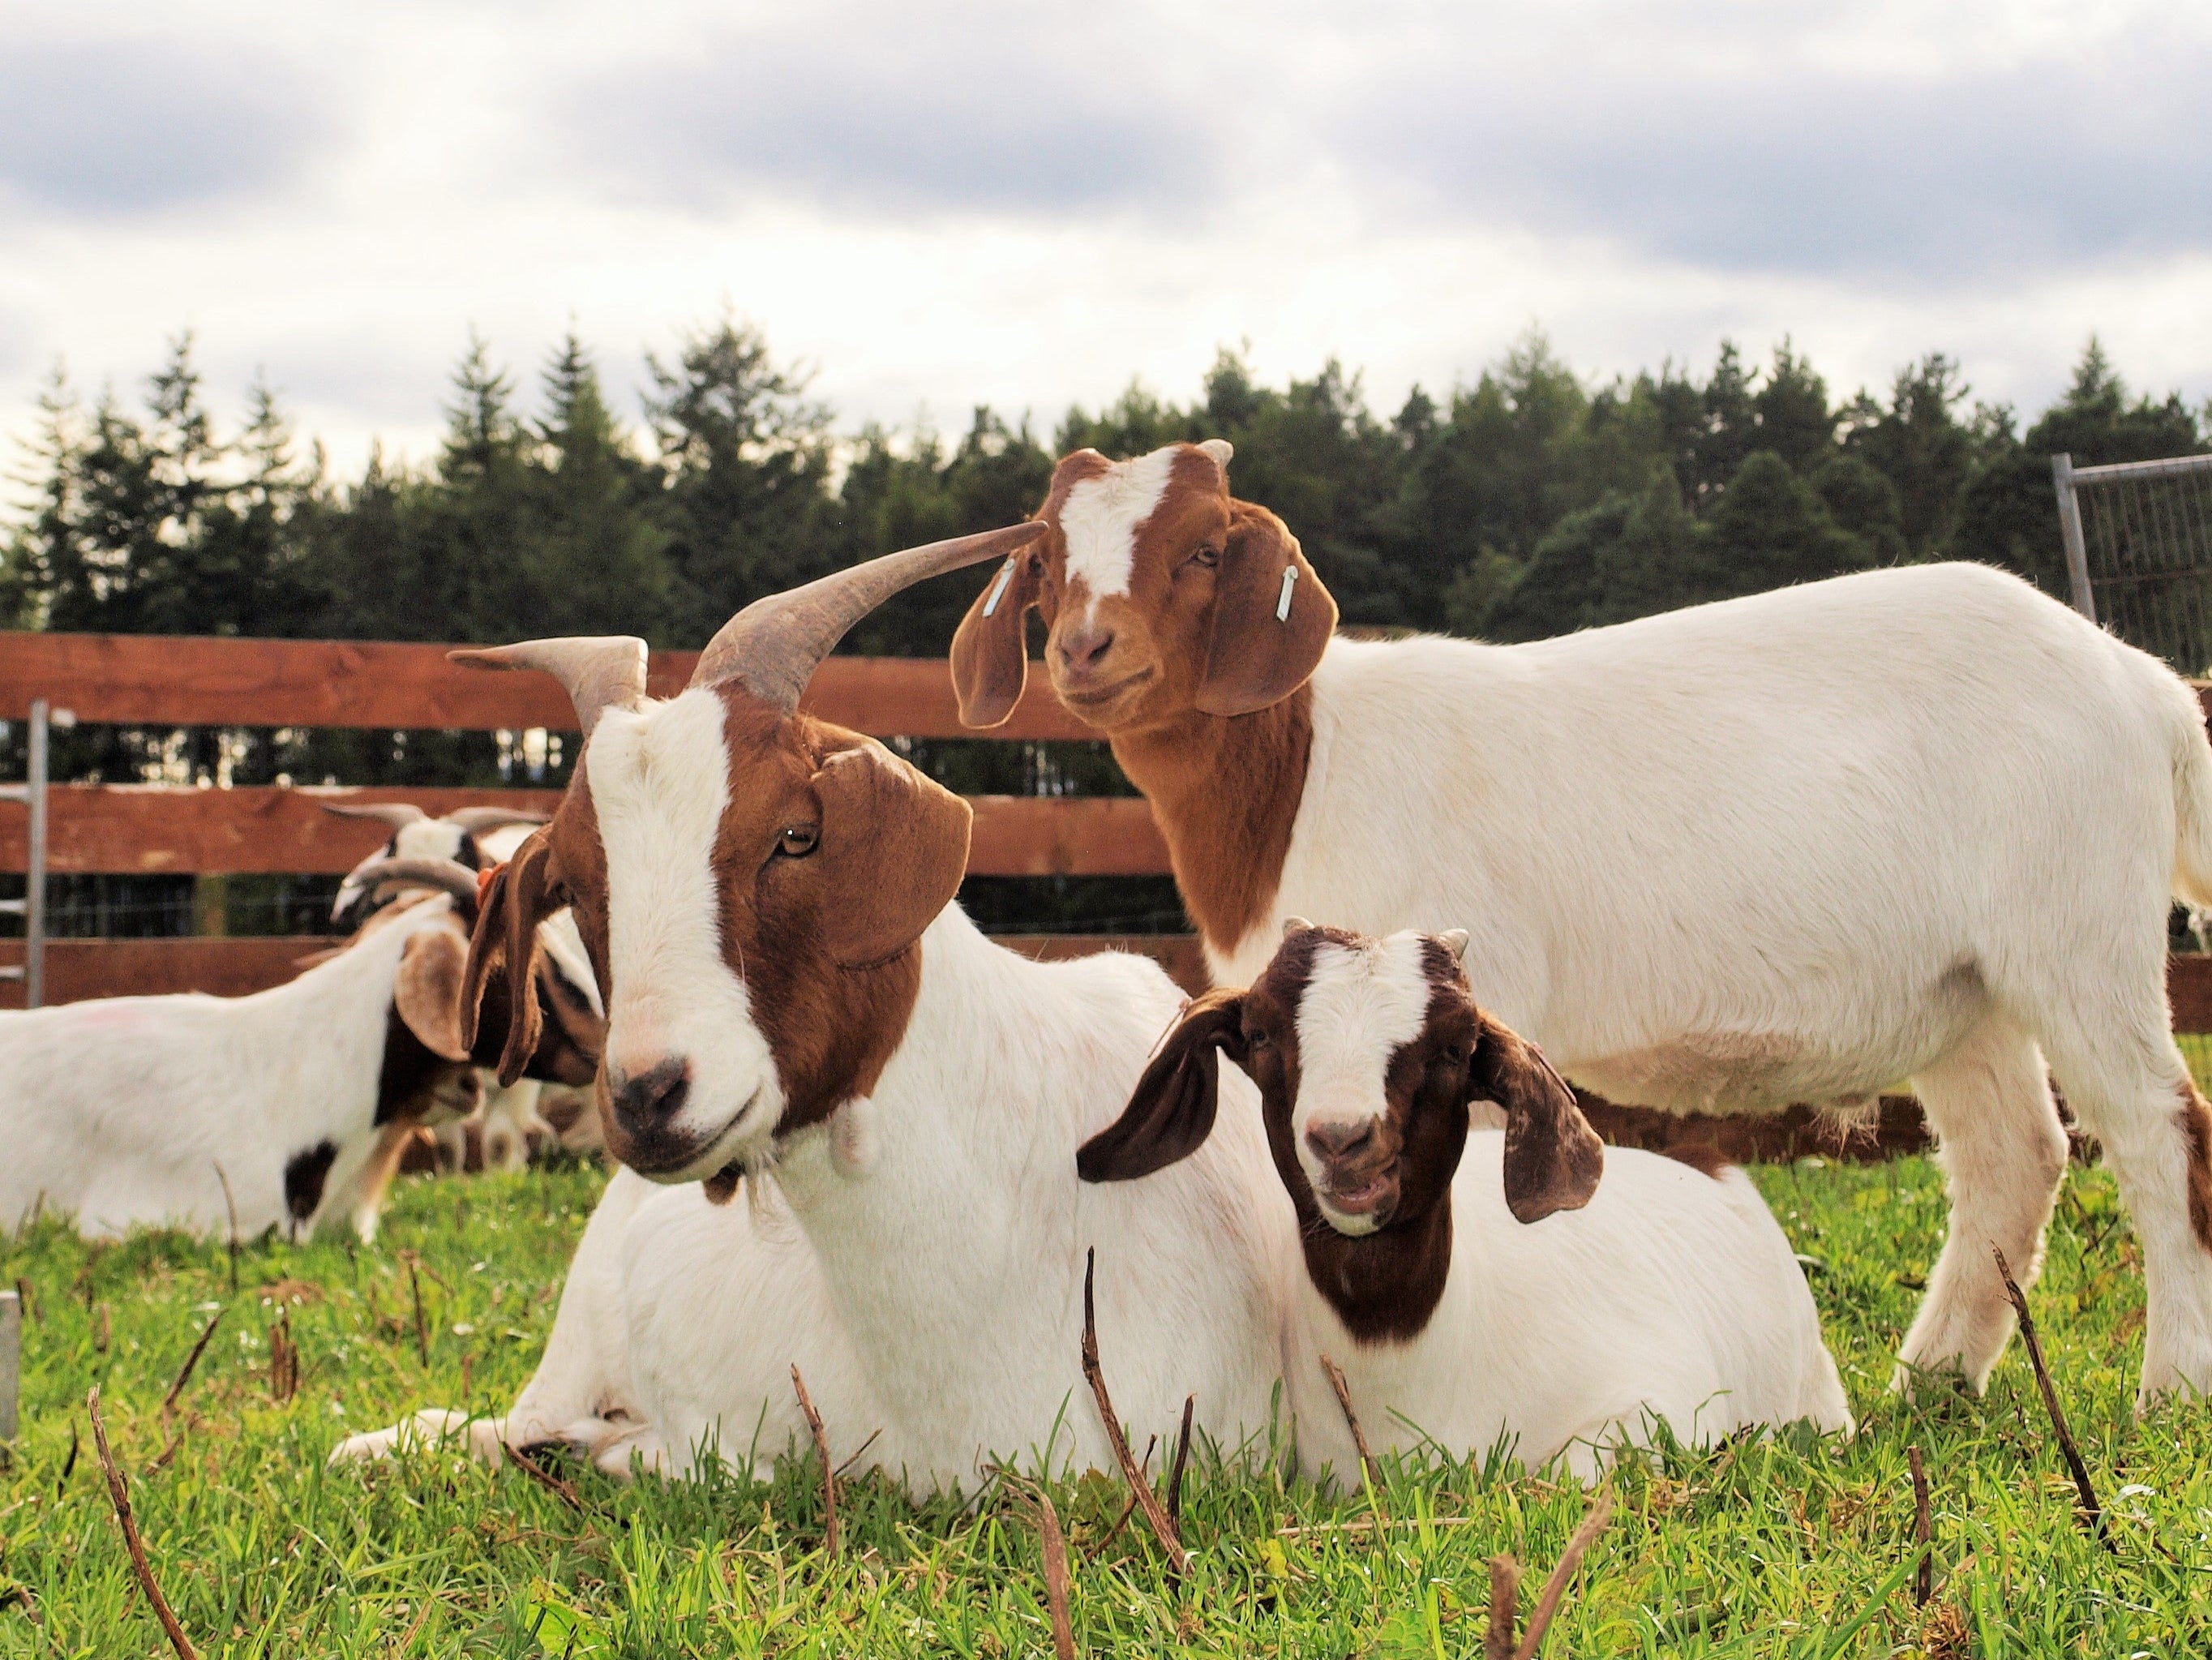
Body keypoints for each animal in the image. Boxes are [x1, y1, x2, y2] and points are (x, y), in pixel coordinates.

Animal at [952, 440, 2212, 1410]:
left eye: (1206, 549)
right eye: (1049, 561)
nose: (1086, 649)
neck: (1307, 768)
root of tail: (2144, 683)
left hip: (2076, 921)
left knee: (2161, 1130)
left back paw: (2171, 1387)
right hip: (1963, 985)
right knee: (2017, 1155)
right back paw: (1933, 1382)